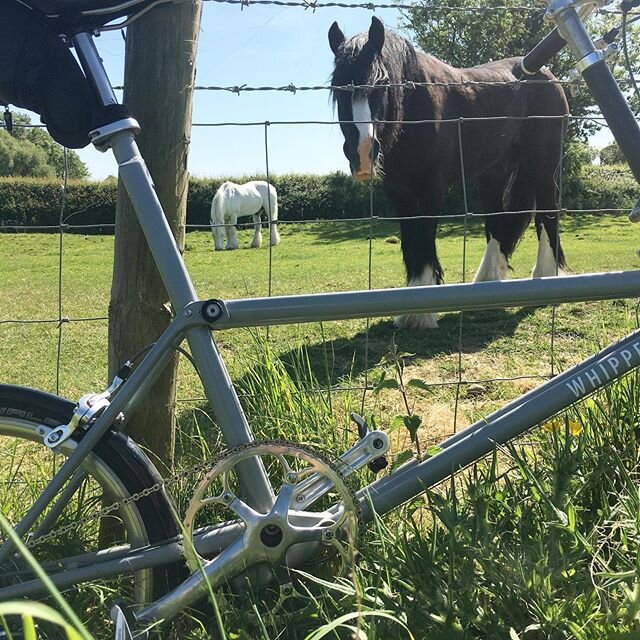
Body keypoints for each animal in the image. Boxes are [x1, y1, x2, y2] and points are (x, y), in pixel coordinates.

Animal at [328, 18, 568, 330]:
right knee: (496, 223)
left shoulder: (432, 189)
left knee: (547, 216)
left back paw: (545, 279)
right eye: (337, 88)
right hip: (494, 173)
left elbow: (425, 237)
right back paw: (488, 285)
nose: (363, 152)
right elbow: (411, 241)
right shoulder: (398, 192)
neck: (415, 110)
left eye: (382, 83)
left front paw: (420, 313)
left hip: (543, 166)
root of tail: (548, 76)